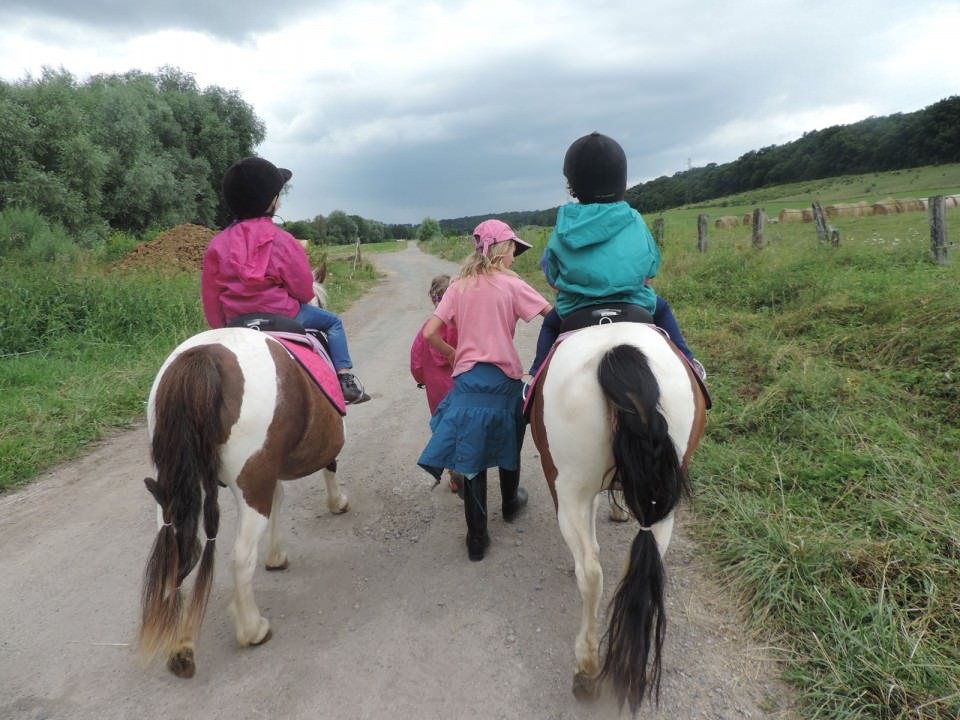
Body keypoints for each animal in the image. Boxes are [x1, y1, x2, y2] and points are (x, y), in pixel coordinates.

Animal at [133, 330, 346, 676]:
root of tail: (204, 358)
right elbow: (330, 464)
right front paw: (337, 502)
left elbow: (279, 497)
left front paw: (277, 555)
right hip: (250, 481)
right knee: (241, 558)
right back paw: (252, 629)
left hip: (170, 487)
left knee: (176, 549)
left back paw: (181, 647)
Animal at [528, 322, 708, 716]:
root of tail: (617, 352)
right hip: (664, 501)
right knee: (641, 559)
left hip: (569, 490)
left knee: (590, 572)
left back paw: (586, 668)